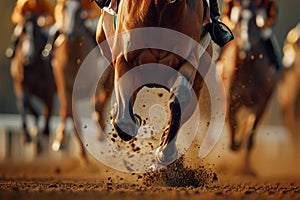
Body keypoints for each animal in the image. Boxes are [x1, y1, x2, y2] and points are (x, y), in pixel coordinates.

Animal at [95, 0, 212, 167]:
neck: (161, 7)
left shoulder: (189, 60)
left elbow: (180, 98)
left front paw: (165, 153)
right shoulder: (125, 60)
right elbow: (124, 121)